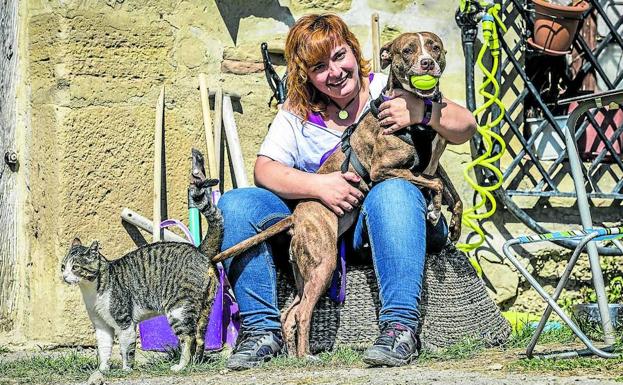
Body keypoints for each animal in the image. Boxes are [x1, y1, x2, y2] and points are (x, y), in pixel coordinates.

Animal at [61, 180, 222, 372]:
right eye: (63, 266)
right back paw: (195, 364)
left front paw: (126, 370)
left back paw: (180, 366)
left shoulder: (124, 322)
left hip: (178, 309)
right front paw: (102, 370)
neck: (91, 290)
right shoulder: (101, 326)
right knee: (199, 338)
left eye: (75, 267)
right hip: (205, 309)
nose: (64, 276)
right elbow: (104, 349)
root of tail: (199, 250)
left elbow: (126, 349)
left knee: (188, 338)